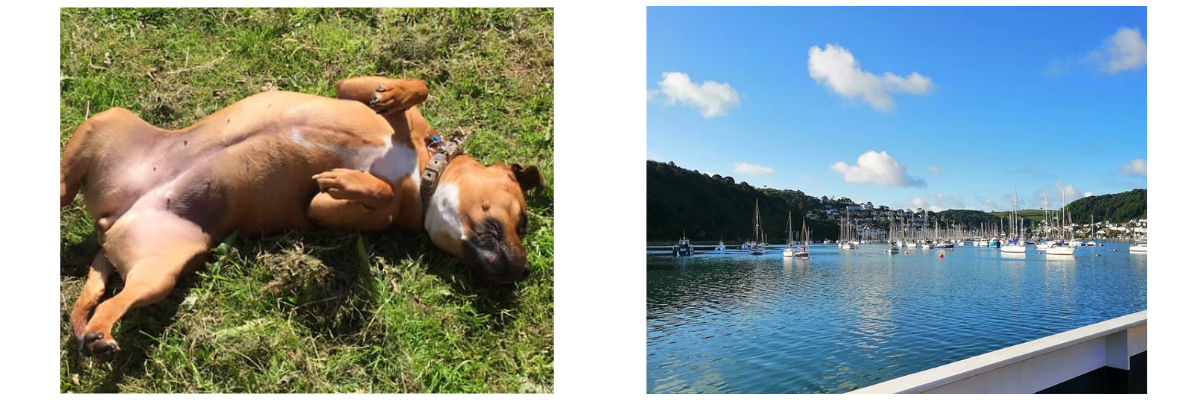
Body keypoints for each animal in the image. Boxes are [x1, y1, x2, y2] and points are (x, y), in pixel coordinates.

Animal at [57, 76, 544, 360]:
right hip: (107, 120)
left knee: (111, 304)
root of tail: (112, 218)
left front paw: (346, 181)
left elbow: (372, 196)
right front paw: (394, 96)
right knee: (63, 190)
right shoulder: (352, 87)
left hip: (161, 271)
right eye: (522, 221)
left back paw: (98, 335)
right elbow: (415, 84)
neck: (426, 170)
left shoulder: (320, 210)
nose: (522, 271)